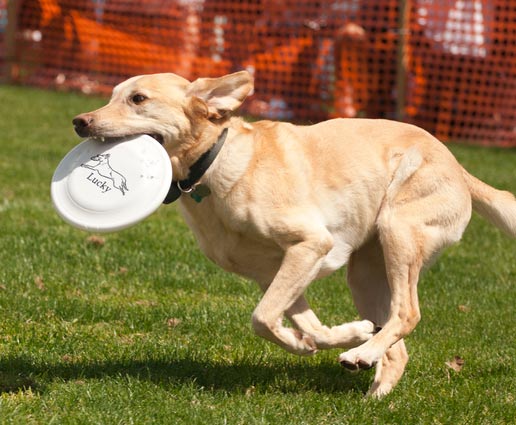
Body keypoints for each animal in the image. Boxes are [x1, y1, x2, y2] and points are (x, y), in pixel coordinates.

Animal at [72, 71, 516, 396]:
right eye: (112, 95)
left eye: (138, 99)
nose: (79, 122)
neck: (214, 166)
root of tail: (458, 167)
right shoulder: (275, 271)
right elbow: (302, 325)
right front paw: (331, 337)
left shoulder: (309, 246)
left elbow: (262, 317)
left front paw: (320, 342)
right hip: (366, 273)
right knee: (396, 343)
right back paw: (370, 374)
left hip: (398, 233)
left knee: (407, 314)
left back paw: (365, 357)